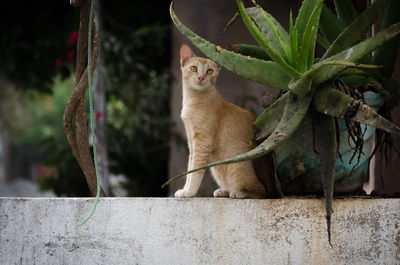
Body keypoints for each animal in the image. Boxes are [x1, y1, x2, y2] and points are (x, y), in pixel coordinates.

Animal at [174, 44, 266, 198]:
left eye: (209, 71)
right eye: (193, 68)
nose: (200, 78)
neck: (193, 100)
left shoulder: (202, 143)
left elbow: (195, 171)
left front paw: (190, 192)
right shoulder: (192, 142)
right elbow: (189, 169)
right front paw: (185, 189)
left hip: (237, 166)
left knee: (263, 192)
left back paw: (239, 193)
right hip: (216, 169)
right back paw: (224, 190)